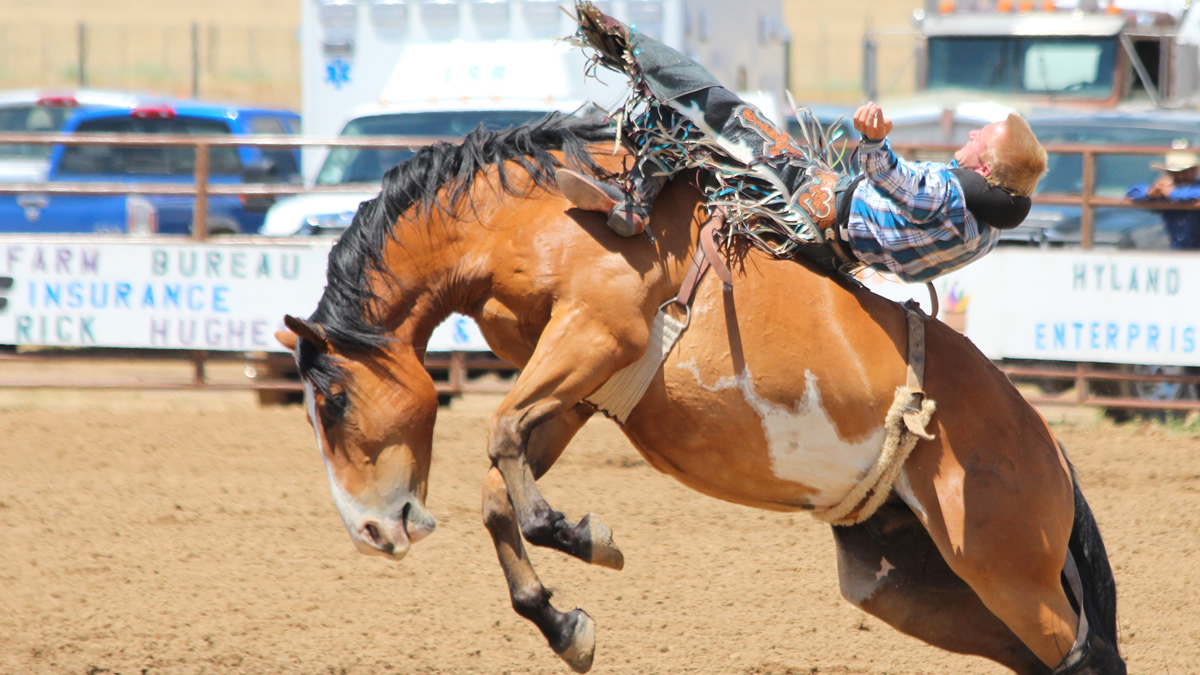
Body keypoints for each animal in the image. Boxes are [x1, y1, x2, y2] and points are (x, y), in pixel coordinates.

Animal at [278, 115, 1123, 672]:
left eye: (336, 403)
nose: (372, 530)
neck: (536, 214)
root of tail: (1048, 448)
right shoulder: (579, 386)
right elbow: (499, 481)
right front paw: (564, 619)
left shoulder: (594, 336)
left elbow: (501, 440)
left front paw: (581, 534)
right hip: (916, 584)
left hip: (1006, 569)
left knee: (1080, 656)